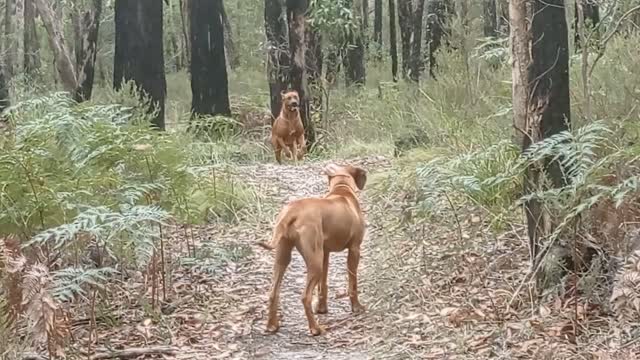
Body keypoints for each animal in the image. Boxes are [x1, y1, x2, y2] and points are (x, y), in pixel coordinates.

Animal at [255, 165, 364, 336]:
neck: (342, 190)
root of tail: (291, 212)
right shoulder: (354, 249)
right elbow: (353, 283)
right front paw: (356, 307)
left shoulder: (325, 253)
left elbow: (323, 285)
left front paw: (321, 308)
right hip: (315, 262)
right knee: (305, 297)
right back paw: (315, 328)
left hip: (285, 255)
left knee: (273, 292)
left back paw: (272, 325)